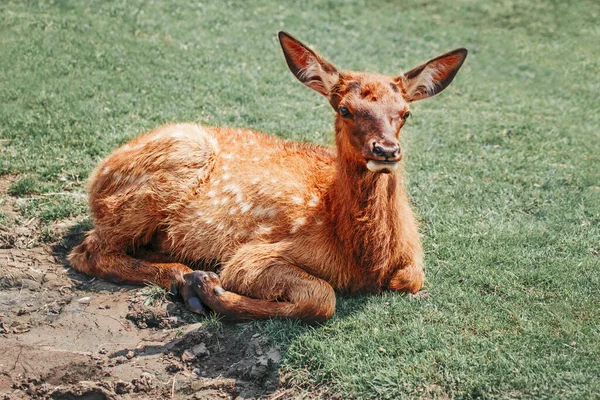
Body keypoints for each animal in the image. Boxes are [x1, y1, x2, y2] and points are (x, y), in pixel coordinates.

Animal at [68, 32, 466, 324]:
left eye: (405, 112)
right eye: (345, 109)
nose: (385, 150)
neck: (368, 262)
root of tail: (96, 176)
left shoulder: (413, 264)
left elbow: (409, 280)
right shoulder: (255, 254)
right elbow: (322, 297)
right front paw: (211, 289)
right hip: (170, 168)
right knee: (88, 252)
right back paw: (189, 281)